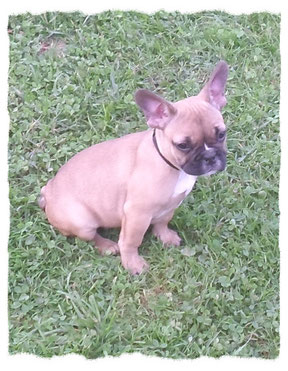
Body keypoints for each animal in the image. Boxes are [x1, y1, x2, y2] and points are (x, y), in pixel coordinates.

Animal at [38, 61, 228, 274]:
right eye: (183, 145)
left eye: (222, 134)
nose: (210, 156)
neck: (171, 166)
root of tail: (48, 191)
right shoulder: (137, 214)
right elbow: (131, 240)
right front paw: (133, 263)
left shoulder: (171, 205)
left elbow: (162, 221)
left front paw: (165, 236)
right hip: (82, 222)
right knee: (90, 236)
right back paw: (107, 245)